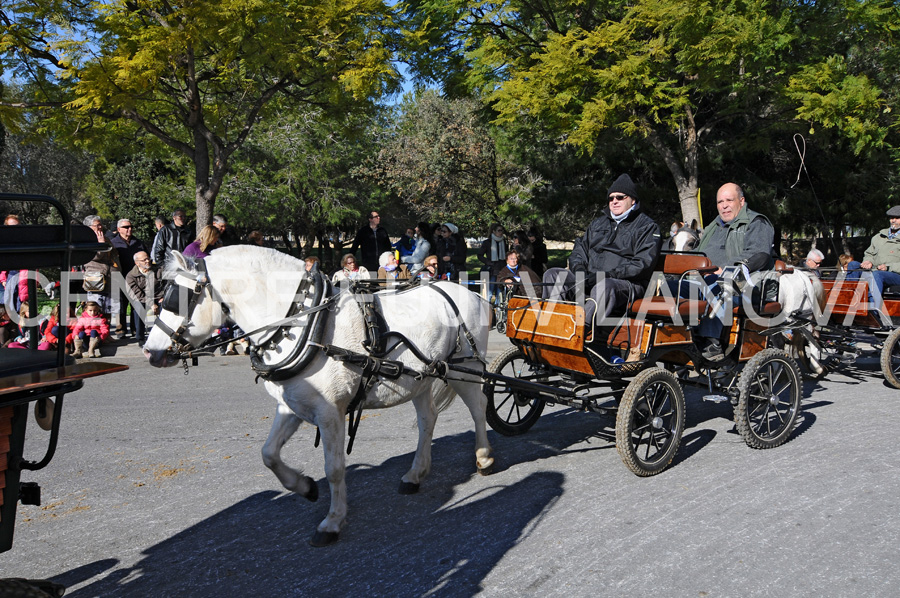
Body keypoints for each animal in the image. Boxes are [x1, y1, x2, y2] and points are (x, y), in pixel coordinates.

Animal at [142, 246, 492, 548]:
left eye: (179, 298)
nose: (150, 351)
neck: (306, 324)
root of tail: (472, 293)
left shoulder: (330, 412)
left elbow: (334, 468)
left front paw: (332, 521)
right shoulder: (290, 405)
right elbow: (269, 454)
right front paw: (305, 487)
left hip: (466, 369)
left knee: (478, 408)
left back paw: (484, 456)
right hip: (421, 377)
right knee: (427, 419)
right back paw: (415, 474)